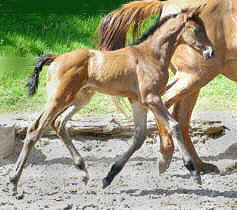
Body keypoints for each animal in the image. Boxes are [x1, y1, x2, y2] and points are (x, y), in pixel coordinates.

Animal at [9, 4, 214, 196]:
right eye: (196, 29)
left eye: (204, 27)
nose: (210, 52)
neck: (151, 55)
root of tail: (56, 57)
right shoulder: (152, 98)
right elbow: (174, 125)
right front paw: (194, 173)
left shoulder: (138, 101)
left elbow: (139, 137)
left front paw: (108, 177)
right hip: (59, 98)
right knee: (35, 130)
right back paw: (13, 183)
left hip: (80, 98)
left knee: (58, 123)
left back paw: (83, 171)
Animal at [96, 0, 237, 174]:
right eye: (196, 30)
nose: (210, 52)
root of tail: (166, 4)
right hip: (195, 76)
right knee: (167, 104)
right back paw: (167, 155)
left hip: (192, 82)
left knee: (180, 116)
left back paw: (195, 164)